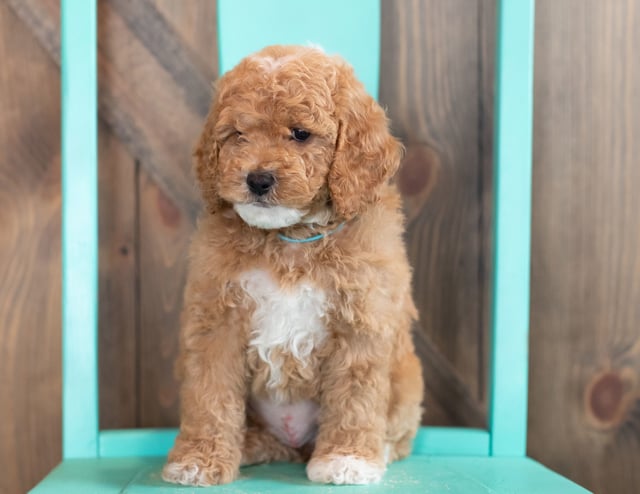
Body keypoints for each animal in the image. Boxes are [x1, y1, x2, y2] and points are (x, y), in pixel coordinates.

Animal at [164, 44, 424, 484]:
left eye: (301, 134)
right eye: (238, 134)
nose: (257, 179)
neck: (292, 238)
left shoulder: (361, 319)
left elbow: (355, 395)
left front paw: (347, 458)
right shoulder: (216, 319)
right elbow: (209, 394)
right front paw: (198, 459)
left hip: (408, 380)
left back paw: (379, 450)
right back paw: (250, 445)